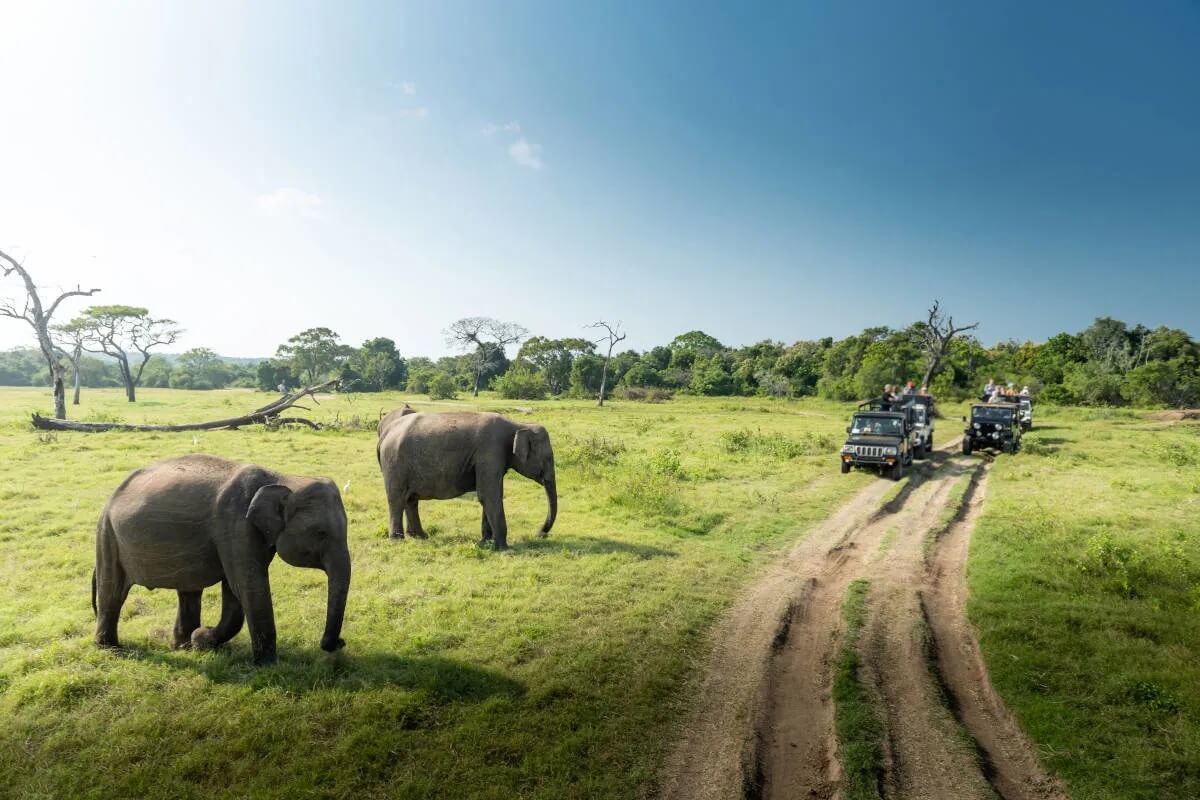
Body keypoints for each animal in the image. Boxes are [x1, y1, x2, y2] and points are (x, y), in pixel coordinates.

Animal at [92, 453, 350, 666]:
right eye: (321, 533)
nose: (340, 643)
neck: (282, 477)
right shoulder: (235, 525)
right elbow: (248, 586)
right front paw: (267, 666)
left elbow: (235, 590)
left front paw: (201, 640)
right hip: (107, 535)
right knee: (112, 591)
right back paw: (111, 649)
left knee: (189, 590)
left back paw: (182, 646)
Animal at [376, 407, 559, 551]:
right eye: (549, 458)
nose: (540, 533)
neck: (518, 425)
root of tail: (385, 433)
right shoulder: (490, 451)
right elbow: (489, 495)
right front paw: (503, 549)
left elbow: (491, 495)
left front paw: (486, 542)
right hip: (394, 463)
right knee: (397, 499)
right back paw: (397, 540)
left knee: (410, 499)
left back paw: (420, 536)